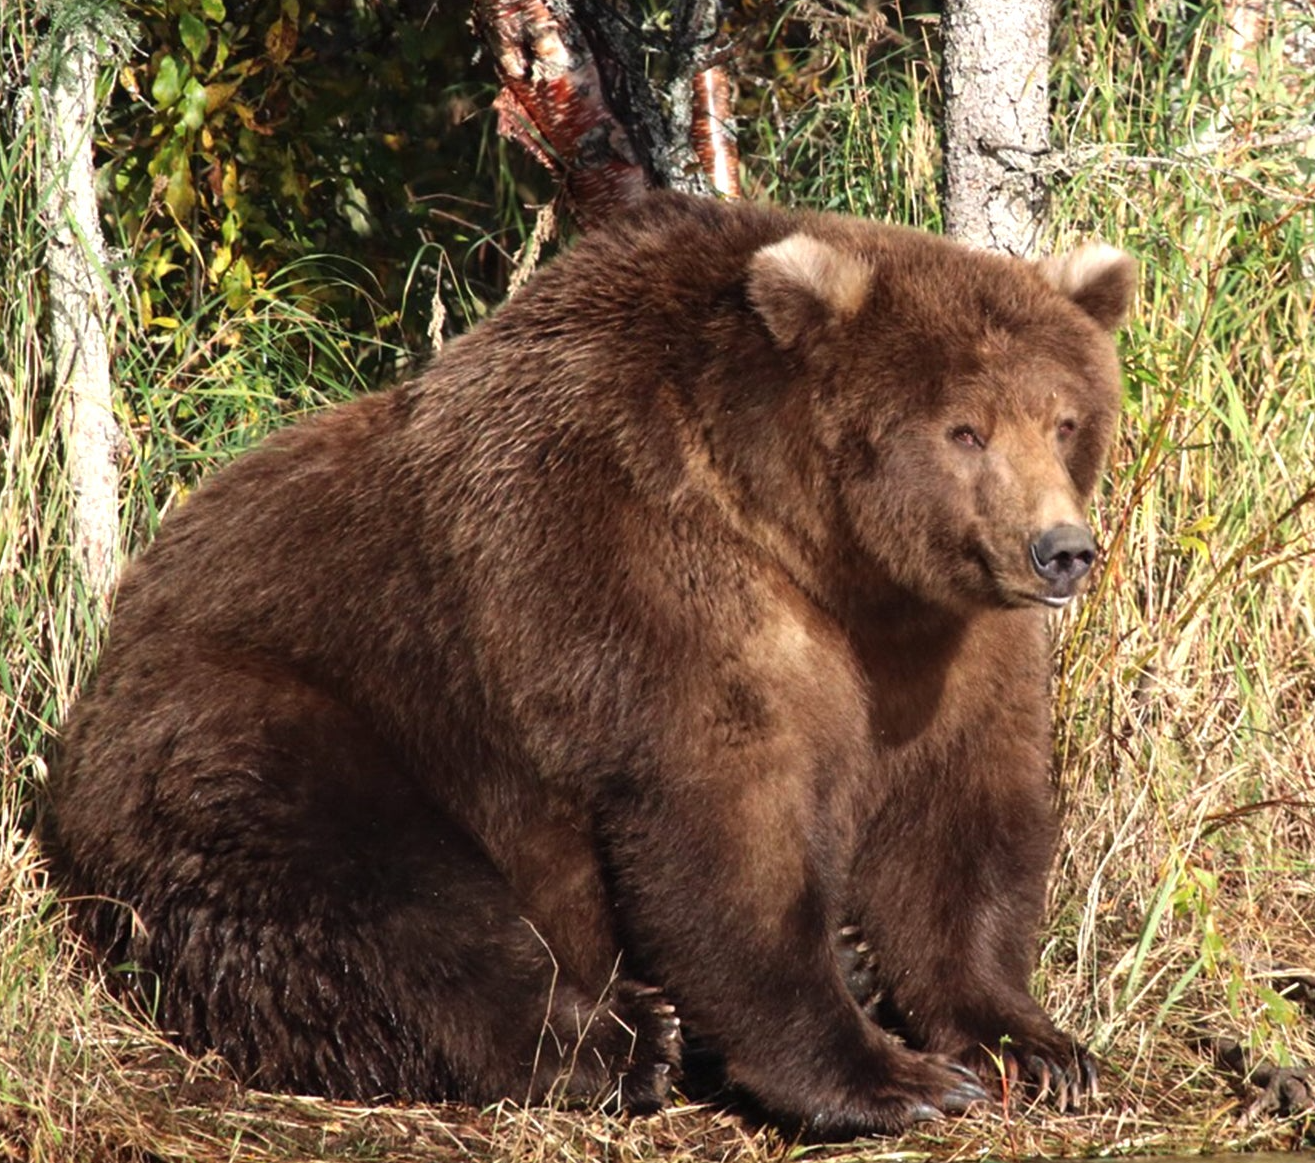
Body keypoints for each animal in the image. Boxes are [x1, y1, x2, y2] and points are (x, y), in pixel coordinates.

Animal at [38, 190, 1130, 1136]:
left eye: (1065, 419)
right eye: (964, 428)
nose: (1060, 550)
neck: (822, 551)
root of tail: (106, 656)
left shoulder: (945, 644)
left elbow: (960, 820)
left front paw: (1031, 1045)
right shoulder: (637, 571)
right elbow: (724, 827)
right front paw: (889, 1076)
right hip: (266, 716)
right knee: (374, 900)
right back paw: (624, 1038)